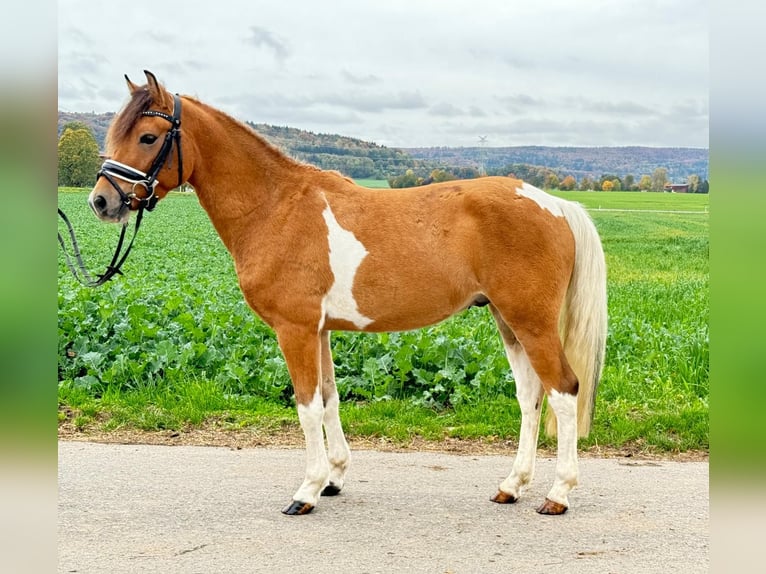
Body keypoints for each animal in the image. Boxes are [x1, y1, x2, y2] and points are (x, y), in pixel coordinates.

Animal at [88, 71, 608, 516]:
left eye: (148, 137)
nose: (101, 201)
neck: (274, 207)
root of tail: (553, 202)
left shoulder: (294, 330)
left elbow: (306, 405)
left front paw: (306, 491)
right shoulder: (318, 331)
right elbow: (329, 398)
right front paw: (334, 478)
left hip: (531, 322)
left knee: (564, 392)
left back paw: (558, 494)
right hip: (508, 321)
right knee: (530, 397)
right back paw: (512, 486)